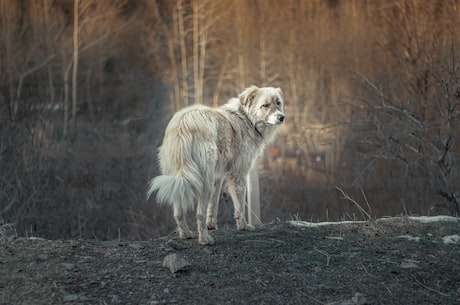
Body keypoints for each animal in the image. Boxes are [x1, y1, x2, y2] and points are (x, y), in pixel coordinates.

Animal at [147, 85, 284, 245]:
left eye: (278, 103)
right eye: (265, 105)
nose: (282, 117)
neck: (247, 119)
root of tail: (183, 124)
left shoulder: (217, 176)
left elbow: (214, 204)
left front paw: (212, 225)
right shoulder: (238, 173)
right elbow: (240, 205)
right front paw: (243, 226)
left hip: (181, 178)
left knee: (178, 212)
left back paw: (186, 234)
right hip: (203, 180)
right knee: (199, 213)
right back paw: (205, 240)